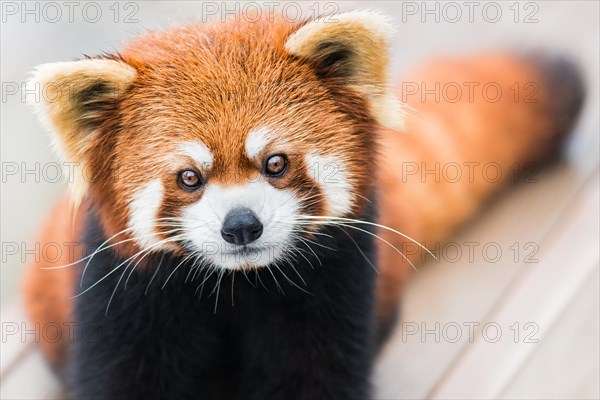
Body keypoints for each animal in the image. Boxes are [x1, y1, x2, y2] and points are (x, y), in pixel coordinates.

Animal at [22, 10, 580, 398]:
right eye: (189, 178)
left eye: (275, 163)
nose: (240, 226)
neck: (238, 286)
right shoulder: (123, 295)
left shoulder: (336, 282)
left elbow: (315, 372)